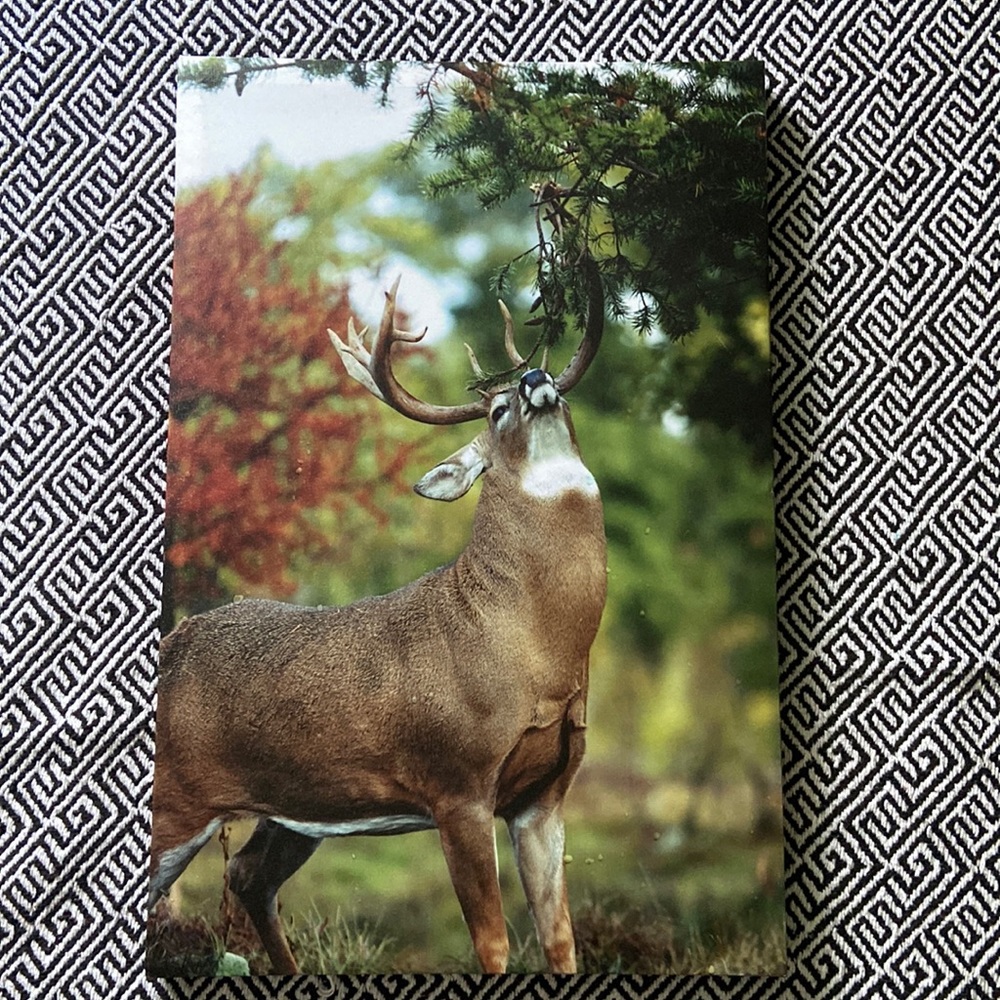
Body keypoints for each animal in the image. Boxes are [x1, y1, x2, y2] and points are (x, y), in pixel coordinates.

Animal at [147, 268, 606, 975]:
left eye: (547, 377)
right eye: (496, 411)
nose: (533, 379)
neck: (532, 646)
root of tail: (174, 639)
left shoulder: (545, 794)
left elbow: (560, 939)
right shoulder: (457, 784)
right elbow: (493, 941)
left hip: (296, 806)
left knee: (248, 875)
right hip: (177, 797)